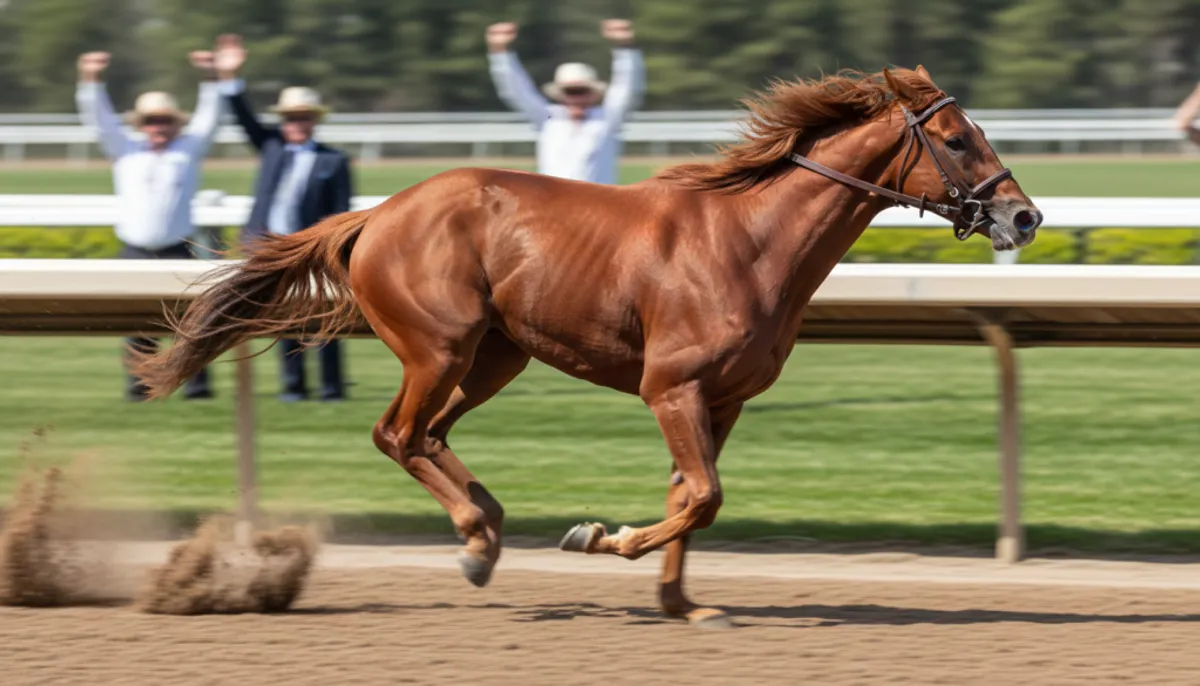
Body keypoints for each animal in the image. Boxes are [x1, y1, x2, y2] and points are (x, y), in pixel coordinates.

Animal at [131, 65, 1042, 628]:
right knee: (398, 432)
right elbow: (701, 496)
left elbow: (694, 496)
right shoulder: (670, 388)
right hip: (441, 344)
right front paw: (603, 539)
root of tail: (377, 214)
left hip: (497, 354)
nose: (1025, 215)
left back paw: (486, 525)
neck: (751, 240)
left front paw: (681, 603)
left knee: (431, 434)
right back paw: (475, 536)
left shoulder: (721, 399)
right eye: (956, 138)